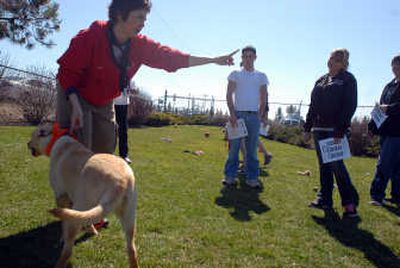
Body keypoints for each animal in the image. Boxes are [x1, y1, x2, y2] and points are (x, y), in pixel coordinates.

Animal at [27, 123, 139, 268]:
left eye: (32, 136)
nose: (27, 143)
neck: (56, 138)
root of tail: (120, 183)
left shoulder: (61, 196)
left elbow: (64, 222)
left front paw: (63, 236)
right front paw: (92, 230)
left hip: (81, 206)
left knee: (68, 250)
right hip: (129, 219)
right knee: (132, 249)